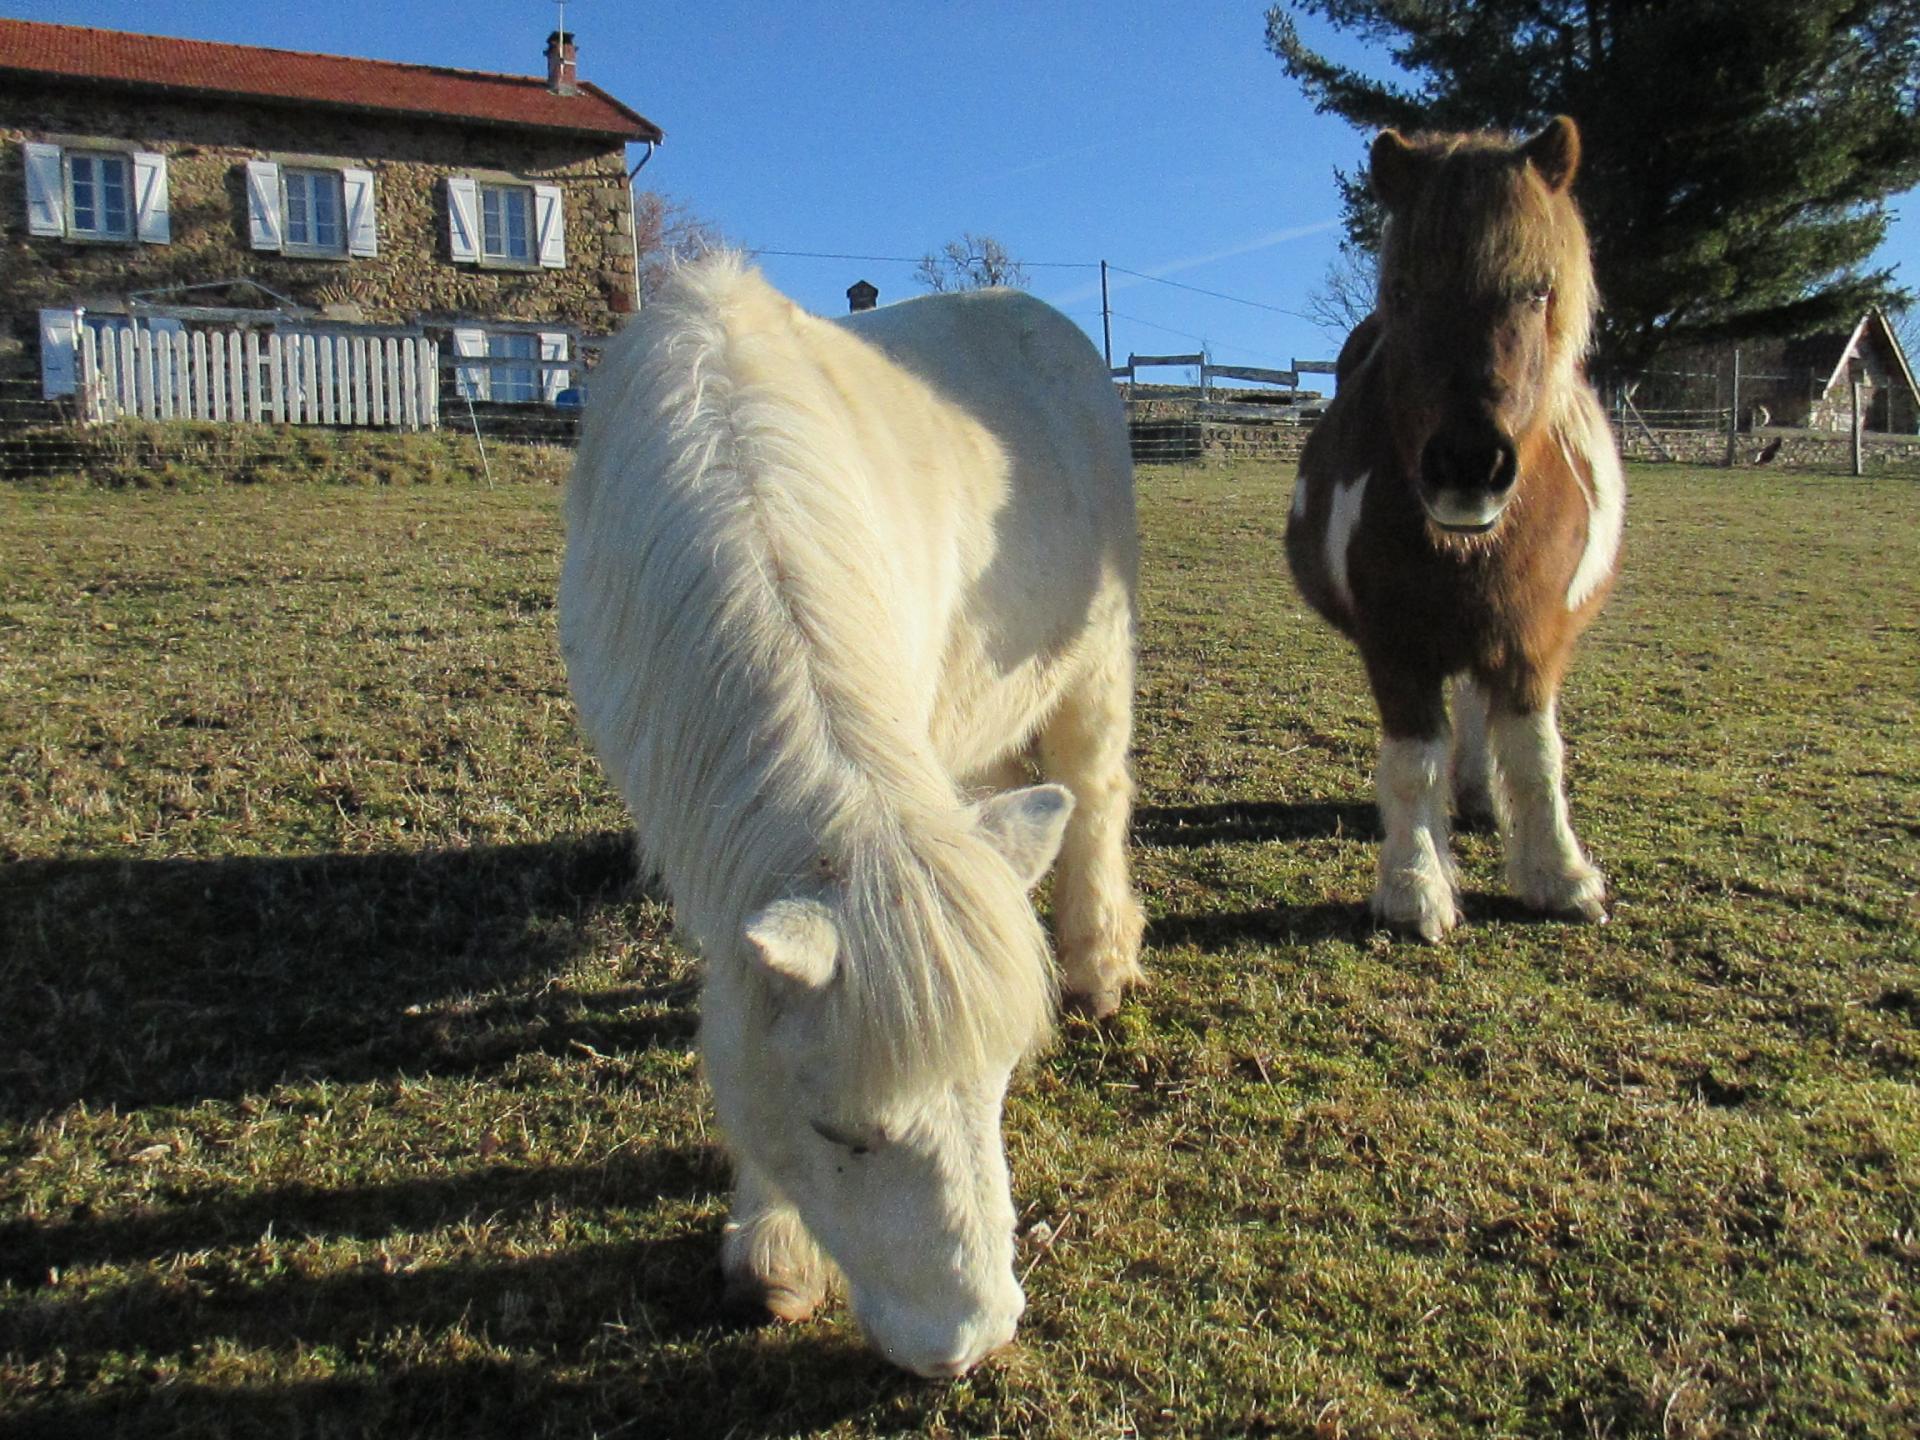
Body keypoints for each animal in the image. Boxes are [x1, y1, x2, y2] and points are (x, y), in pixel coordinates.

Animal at [560, 257, 1144, 1374]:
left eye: (997, 1087)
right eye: (838, 1134)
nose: (971, 1344)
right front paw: (775, 1247)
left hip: (1089, 664)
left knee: (1094, 801)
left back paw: (1098, 964)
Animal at [1290, 121, 1620, 948]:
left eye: (1538, 291)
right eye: (1406, 292)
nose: (1468, 464)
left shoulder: (1533, 641)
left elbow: (1537, 758)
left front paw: (1560, 877)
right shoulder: (1397, 647)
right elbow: (1415, 762)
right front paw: (1415, 888)